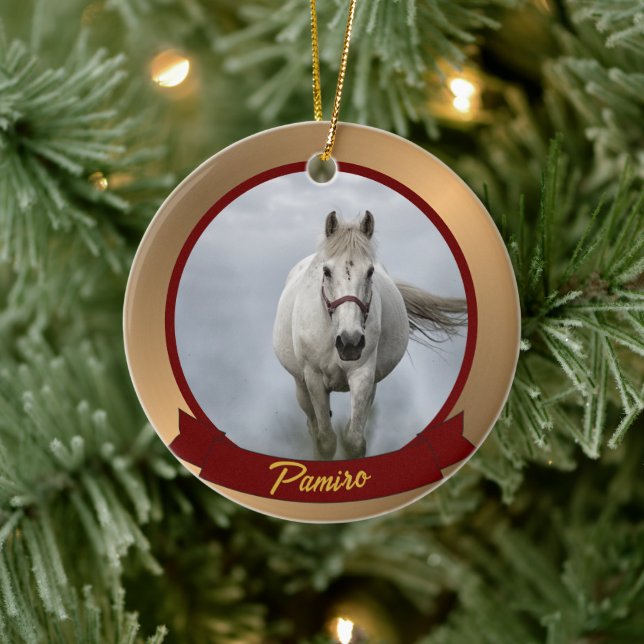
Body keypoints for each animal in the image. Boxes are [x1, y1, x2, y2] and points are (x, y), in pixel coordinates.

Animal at [272, 211, 466, 459]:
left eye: (370, 271)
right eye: (326, 271)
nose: (350, 342)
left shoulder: (363, 375)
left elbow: (353, 440)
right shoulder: (314, 378)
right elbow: (325, 441)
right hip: (301, 386)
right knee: (313, 426)